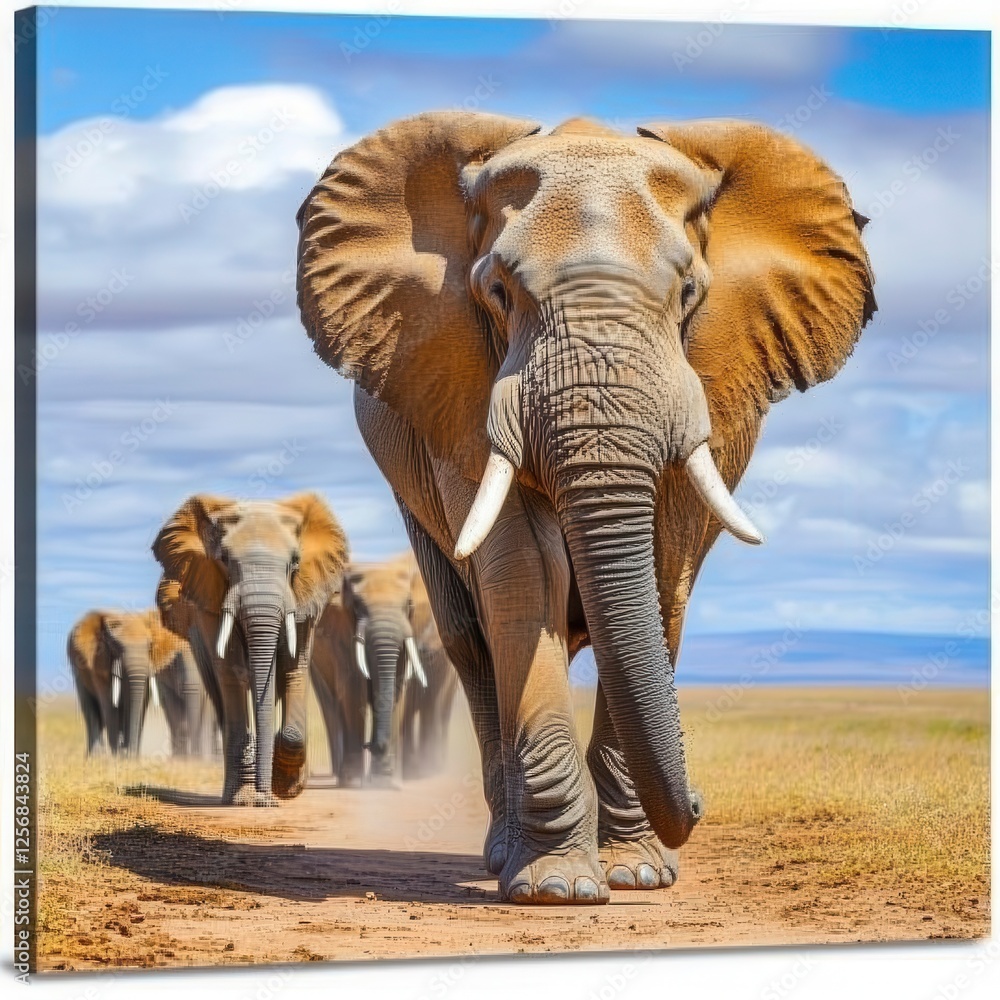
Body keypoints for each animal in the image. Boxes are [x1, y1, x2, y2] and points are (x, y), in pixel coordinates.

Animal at [67, 608, 205, 756]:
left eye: (150, 646)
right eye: (116, 647)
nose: (129, 751)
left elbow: (139, 702)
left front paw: (130, 756)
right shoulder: (98, 661)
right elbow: (109, 703)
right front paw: (119, 755)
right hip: (77, 668)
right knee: (90, 708)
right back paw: (97, 757)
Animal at [152, 493, 348, 806]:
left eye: (295, 562)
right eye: (224, 560)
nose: (266, 799)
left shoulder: (304, 595)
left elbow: (293, 669)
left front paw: (285, 788)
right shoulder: (211, 597)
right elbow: (232, 673)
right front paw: (248, 800)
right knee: (220, 695)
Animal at [310, 552, 451, 784]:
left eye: (408, 604)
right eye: (358, 606)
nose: (372, 745)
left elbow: (397, 687)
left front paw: (384, 778)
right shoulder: (340, 631)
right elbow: (352, 687)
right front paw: (355, 781)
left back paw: (421, 772)